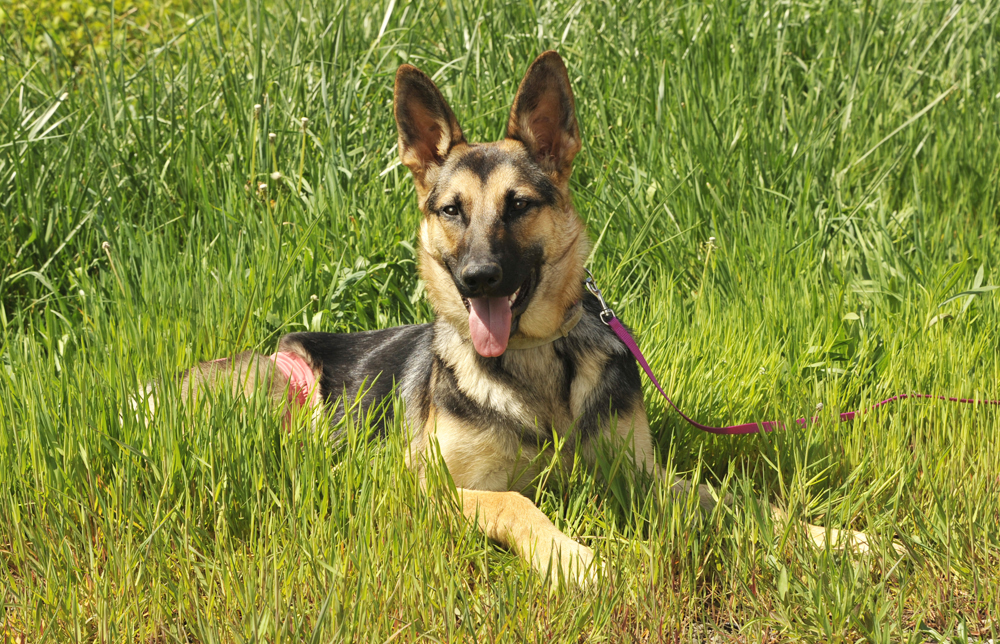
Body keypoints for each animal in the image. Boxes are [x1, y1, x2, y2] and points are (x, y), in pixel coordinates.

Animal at [164, 50, 892, 584]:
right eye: (452, 211)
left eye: (518, 205)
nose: (479, 277)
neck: (536, 360)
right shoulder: (437, 488)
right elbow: (517, 502)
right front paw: (574, 560)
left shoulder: (643, 478)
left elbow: (738, 500)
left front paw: (835, 537)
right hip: (283, 391)